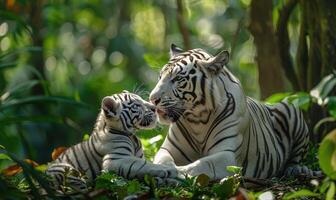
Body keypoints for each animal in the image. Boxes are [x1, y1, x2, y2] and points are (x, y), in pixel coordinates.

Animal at [47, 91, 178, 192]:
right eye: (136, 105)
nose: (154, 108)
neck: (132, 136)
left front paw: (167, 179)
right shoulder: (116, 159)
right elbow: (144, 165)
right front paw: (168, 170)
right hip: (67, 170)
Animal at [148, 44, 314, 180]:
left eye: (177, 79)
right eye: (160, 76)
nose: (152, 99)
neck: (197, 119)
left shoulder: (228, 155)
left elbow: (200, 165)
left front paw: (177, 172)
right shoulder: (168, 149)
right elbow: (163, 160)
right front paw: (164, 169)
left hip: (291, 107)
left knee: (297, 157)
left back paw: (296, 170)